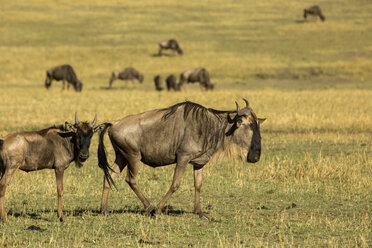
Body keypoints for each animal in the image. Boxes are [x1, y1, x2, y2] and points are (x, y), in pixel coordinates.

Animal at [96, 99, 264, 219]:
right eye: (249, 126)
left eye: (258, 126)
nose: (255, 157)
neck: (210, 127)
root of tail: (113, 123)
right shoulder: (183, 158)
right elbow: (175, 184)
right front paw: (159, 210)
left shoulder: (198, 163)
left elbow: (198, 185)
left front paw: (200, 213)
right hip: (133, 157)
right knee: (131, 179)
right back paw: (150, 208)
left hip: (121, 157)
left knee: (109, 177)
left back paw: (104, 210)